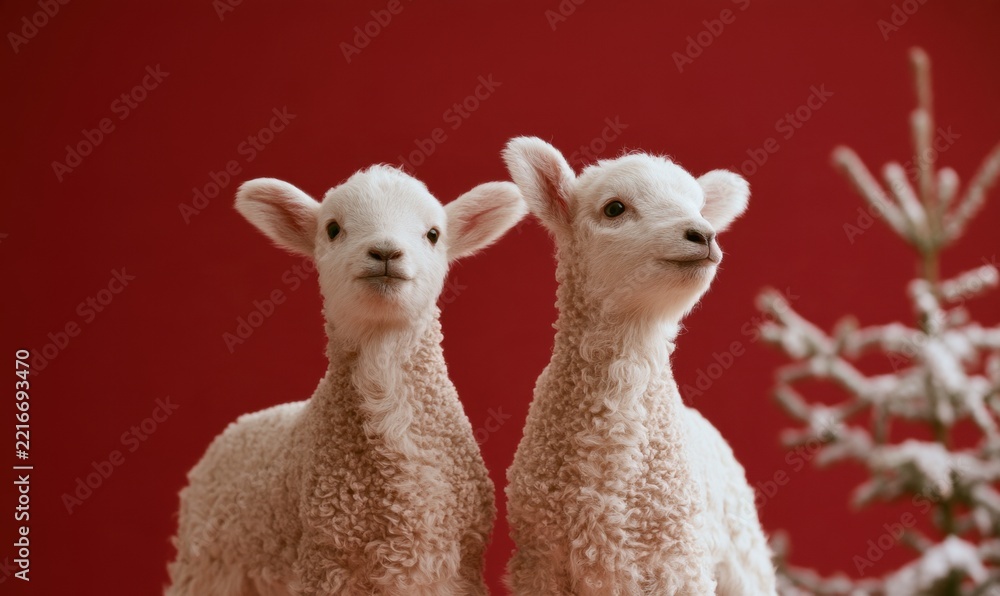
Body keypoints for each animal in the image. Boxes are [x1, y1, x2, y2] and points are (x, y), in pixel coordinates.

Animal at [166, 165, 526, 596]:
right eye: (333, 229)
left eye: (433, 234)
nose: (385, 252)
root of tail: (240, 424)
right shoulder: (328, 558)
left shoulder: (456, 563)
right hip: (209, 564)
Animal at [502, 137, 776, 595]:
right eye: (614, 208)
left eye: (700, 207)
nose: (703, 233)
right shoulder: (540, 564)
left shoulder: (678, 563)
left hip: (742, 555)